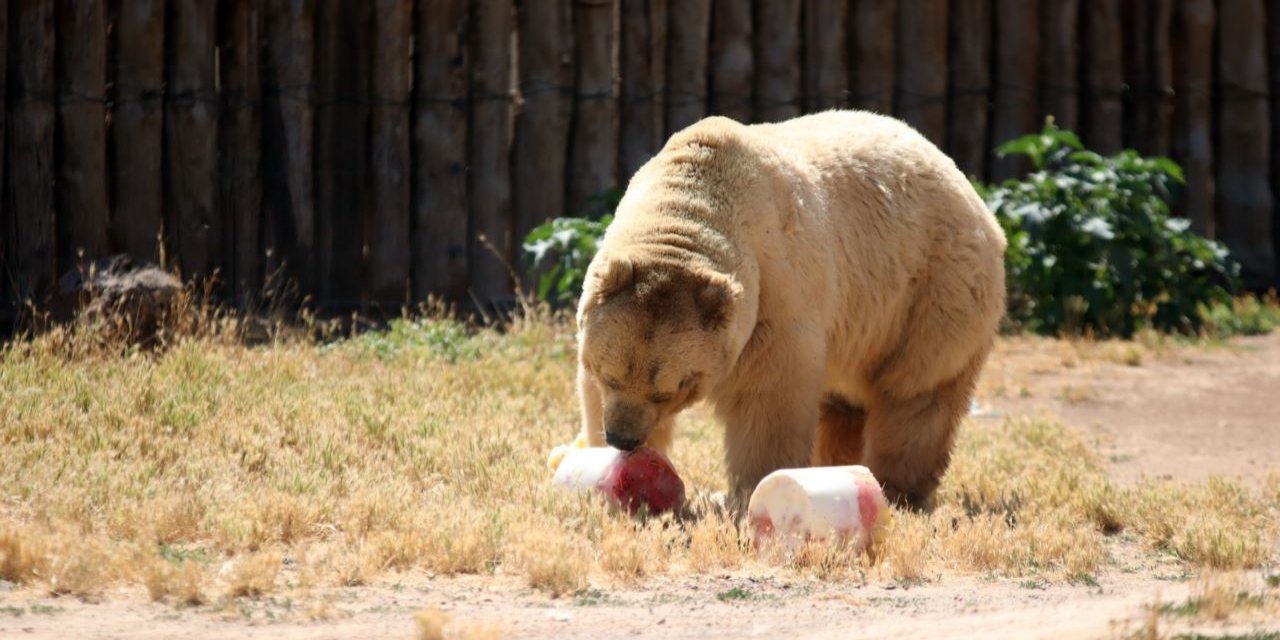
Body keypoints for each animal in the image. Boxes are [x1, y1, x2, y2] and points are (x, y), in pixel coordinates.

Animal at [576, 108, 1003, 509]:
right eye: (610, 374)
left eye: (670, 390)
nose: (623, 438)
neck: (692, 200)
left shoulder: (777, 291)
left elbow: (770, 395)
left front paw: (752, 489)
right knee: (844, 406)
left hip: (930, 292)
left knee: (917, 393)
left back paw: (896, 487)